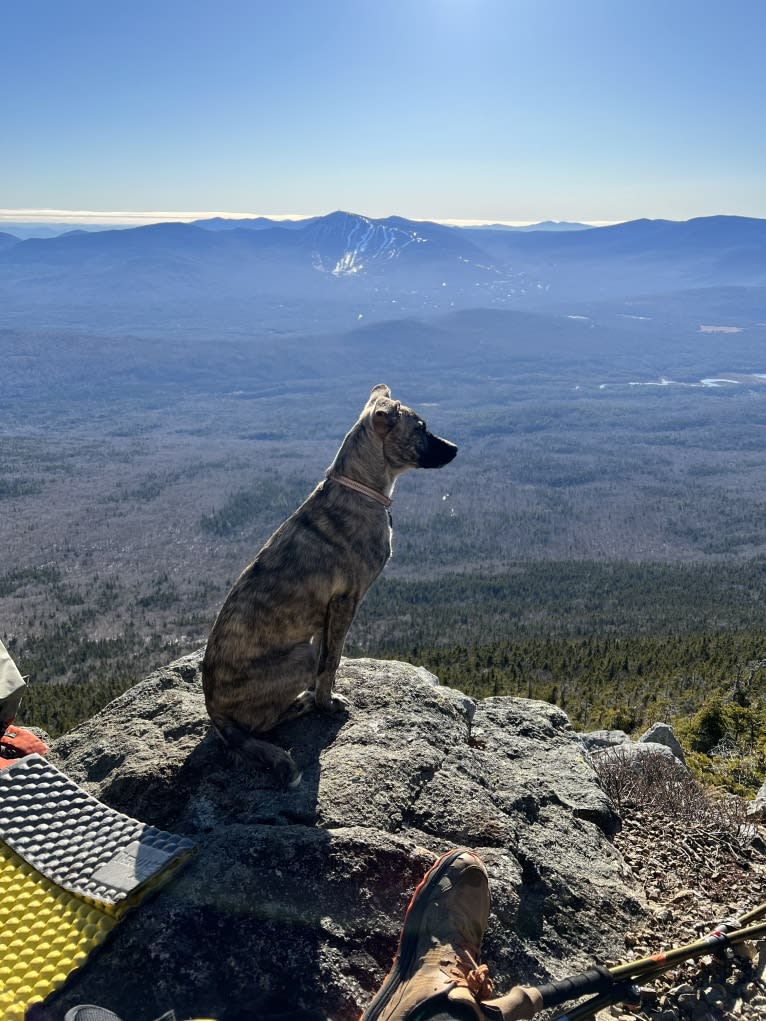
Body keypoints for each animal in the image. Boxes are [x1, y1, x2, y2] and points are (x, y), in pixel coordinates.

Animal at [201, 383, 459, 780]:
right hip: (299, 655)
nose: (456, 448)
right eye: (421, 428)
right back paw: (301, 705)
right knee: (262, 724)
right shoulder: (345, 601)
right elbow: (331, 660)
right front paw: (326, 702)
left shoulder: (328, 611)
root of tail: (213, 711)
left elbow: (328, 658)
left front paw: (323, 693)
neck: (359, 487)